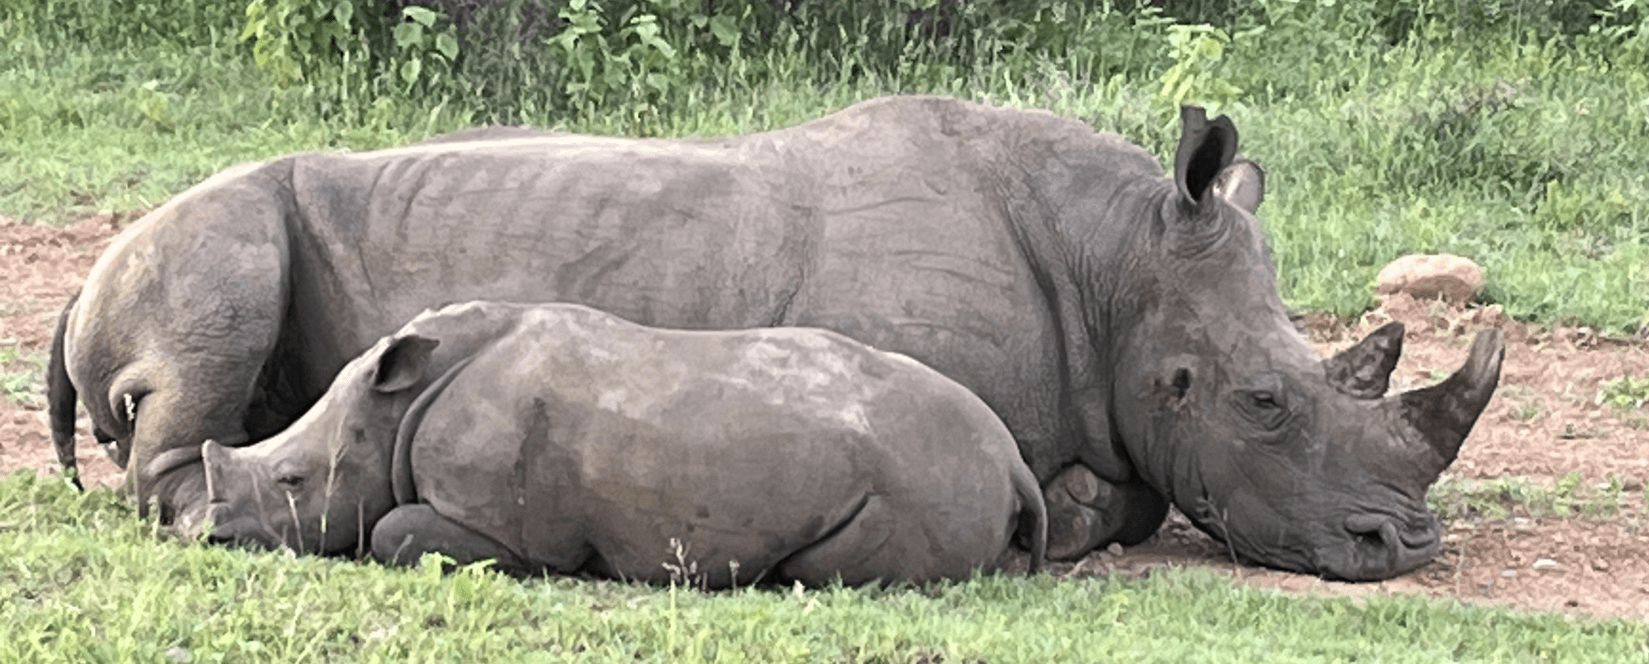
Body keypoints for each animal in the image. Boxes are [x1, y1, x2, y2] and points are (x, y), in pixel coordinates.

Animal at [198, 301, 1047, 585]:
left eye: (291, 480)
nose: (204, 533)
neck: (400, 406)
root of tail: (1011, 462)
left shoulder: (510, 531)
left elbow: (390, 531)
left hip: (922, 482)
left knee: (823, 567)